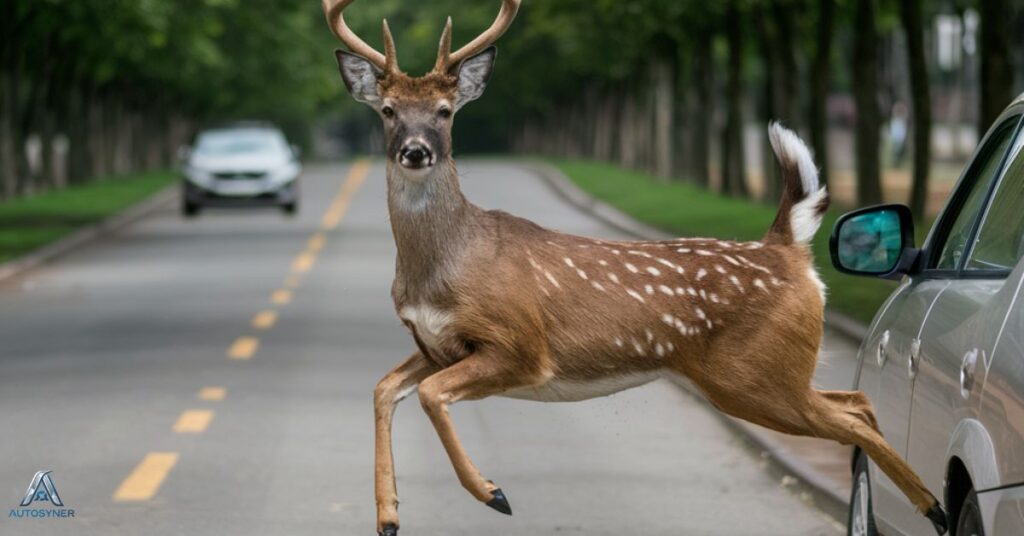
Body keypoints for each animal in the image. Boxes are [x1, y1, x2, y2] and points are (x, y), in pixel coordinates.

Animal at [321, 2, 950, 532]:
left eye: (446, 112)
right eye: (388, 110)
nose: (416, 150)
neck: (442, 268)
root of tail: (787, 249)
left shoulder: (521, 345)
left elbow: (430, 396)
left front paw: (492, 493)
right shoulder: (436, 347)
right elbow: (384, 389)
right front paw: (388, 516)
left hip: (755, 375)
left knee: (852, 416)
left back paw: (935, 507)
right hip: (769, 375)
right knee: (858, 403)